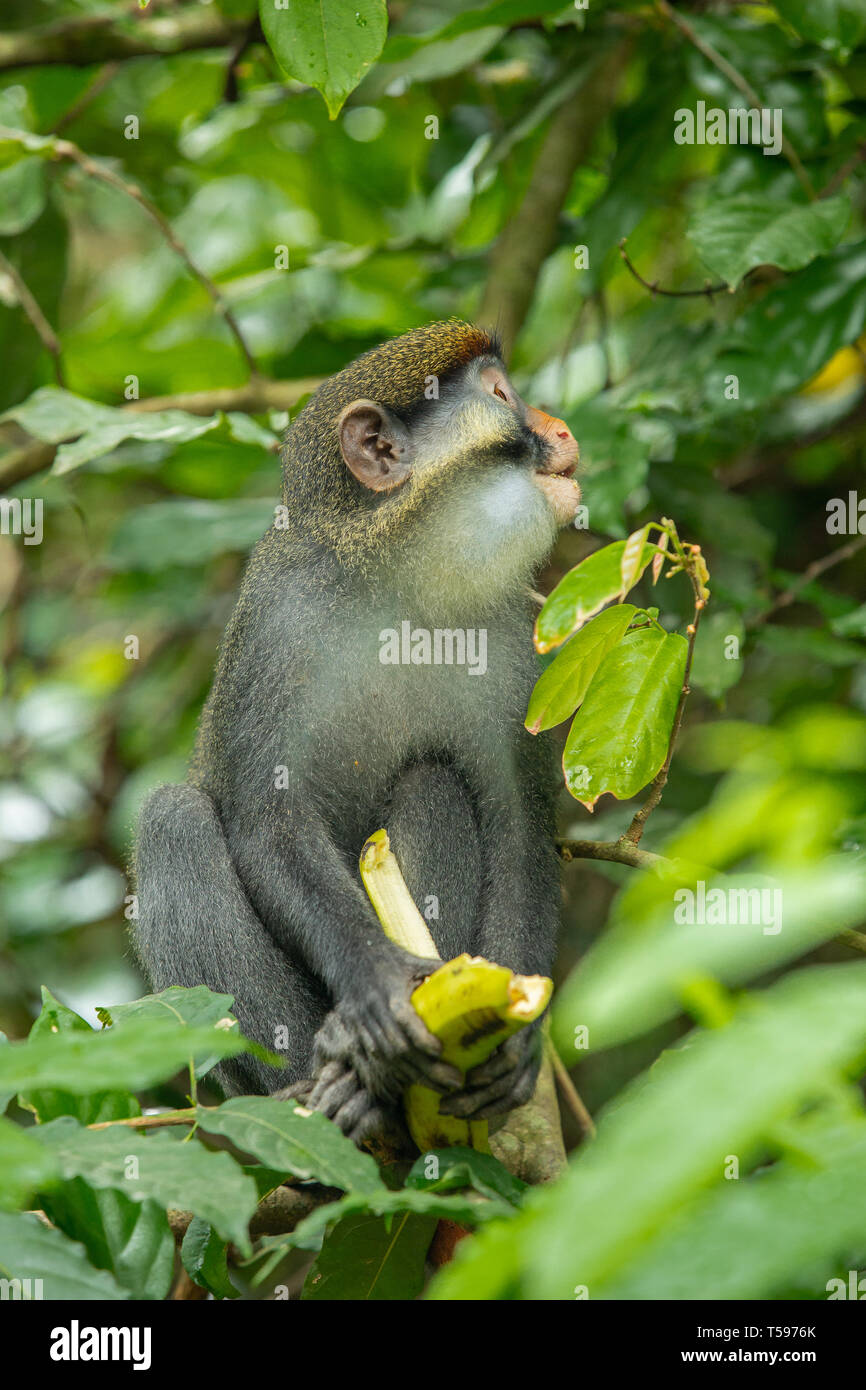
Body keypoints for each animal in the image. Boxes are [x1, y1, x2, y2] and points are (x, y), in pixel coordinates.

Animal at [134, 319, 583, 1145]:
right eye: (501, 395)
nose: (561, 429)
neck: (406, 586)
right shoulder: (280, 616)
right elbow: (267, 821)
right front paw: (378, 981)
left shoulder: (520, 648)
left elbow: (519, 831)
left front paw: (518, 1043)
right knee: (171, 819)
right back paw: (330, 1076)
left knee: (435, 781)